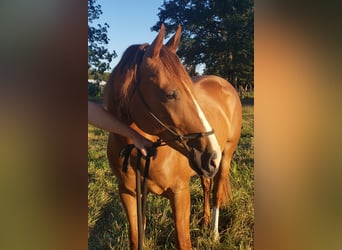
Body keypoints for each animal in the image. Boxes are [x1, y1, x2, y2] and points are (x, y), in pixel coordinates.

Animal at [103, 23, 240, 250]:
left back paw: (213, 233)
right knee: (206, 185)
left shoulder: (180, 193)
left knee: (217, 193)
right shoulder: (129, 194)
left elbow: (183, 241)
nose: (212, 155)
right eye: (170, 95)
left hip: (225, 157)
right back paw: (204, 220)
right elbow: (136, 238)